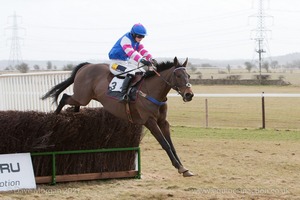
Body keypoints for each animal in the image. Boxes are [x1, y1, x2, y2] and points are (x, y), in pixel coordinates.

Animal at [43, 56, 196, 177]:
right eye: (178, 76)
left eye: (188, 75)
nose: (189, 94)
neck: (151, 91)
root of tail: (87, 66)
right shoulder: (149, 121)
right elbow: (165, 144)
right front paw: (179, 167)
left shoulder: (163, 122)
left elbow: (171, 144)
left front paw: (183, 167)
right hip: (82, 97)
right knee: (64, 97)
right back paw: (54, 118)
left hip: (83, 99)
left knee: (73, 104)